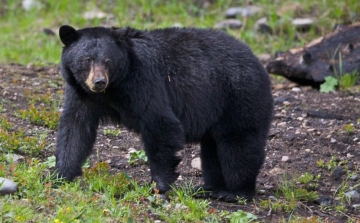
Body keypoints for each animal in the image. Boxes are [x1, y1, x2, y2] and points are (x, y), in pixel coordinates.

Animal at [55, 24, 272, 202]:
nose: (99, 82)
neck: (113, 90)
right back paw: (208, 188)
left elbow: (160, 124)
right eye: (87, 60)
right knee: (212, 149)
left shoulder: (143, 81)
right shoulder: (81, 94)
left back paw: (235, 192)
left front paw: (159, 185)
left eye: (108, 61)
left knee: (238, 144)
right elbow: (75, 128)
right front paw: (59, 175)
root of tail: (256, 60)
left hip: (238, 95)